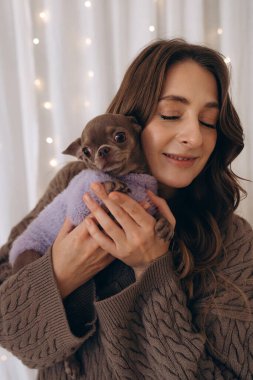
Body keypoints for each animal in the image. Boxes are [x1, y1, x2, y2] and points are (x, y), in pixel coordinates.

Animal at [9, 114, 172, 272]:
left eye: (120, 137)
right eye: (86, 151)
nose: (102, 150)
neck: (129, 175)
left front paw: (165, 224)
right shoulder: (78, 214)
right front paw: (110, 185)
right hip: (31, 253)